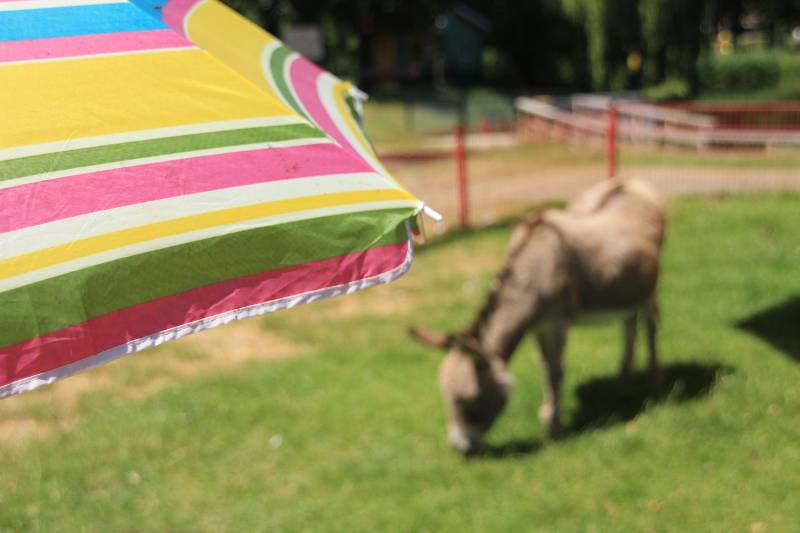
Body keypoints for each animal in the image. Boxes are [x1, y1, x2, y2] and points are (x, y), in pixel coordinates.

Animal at [410, 179, 666, 454]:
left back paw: (654, 377)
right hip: (628, 289)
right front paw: (547, 411)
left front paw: (554, 429)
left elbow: (555, 371)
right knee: (629, 323)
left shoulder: (556, 323)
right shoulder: (536, 326)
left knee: (651, 324)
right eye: (445, 395)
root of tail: (627, 182)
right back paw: (624, 376)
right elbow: (544, 367)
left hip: (650, 288)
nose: (461, 449)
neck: (534, 267)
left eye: (468, 399)